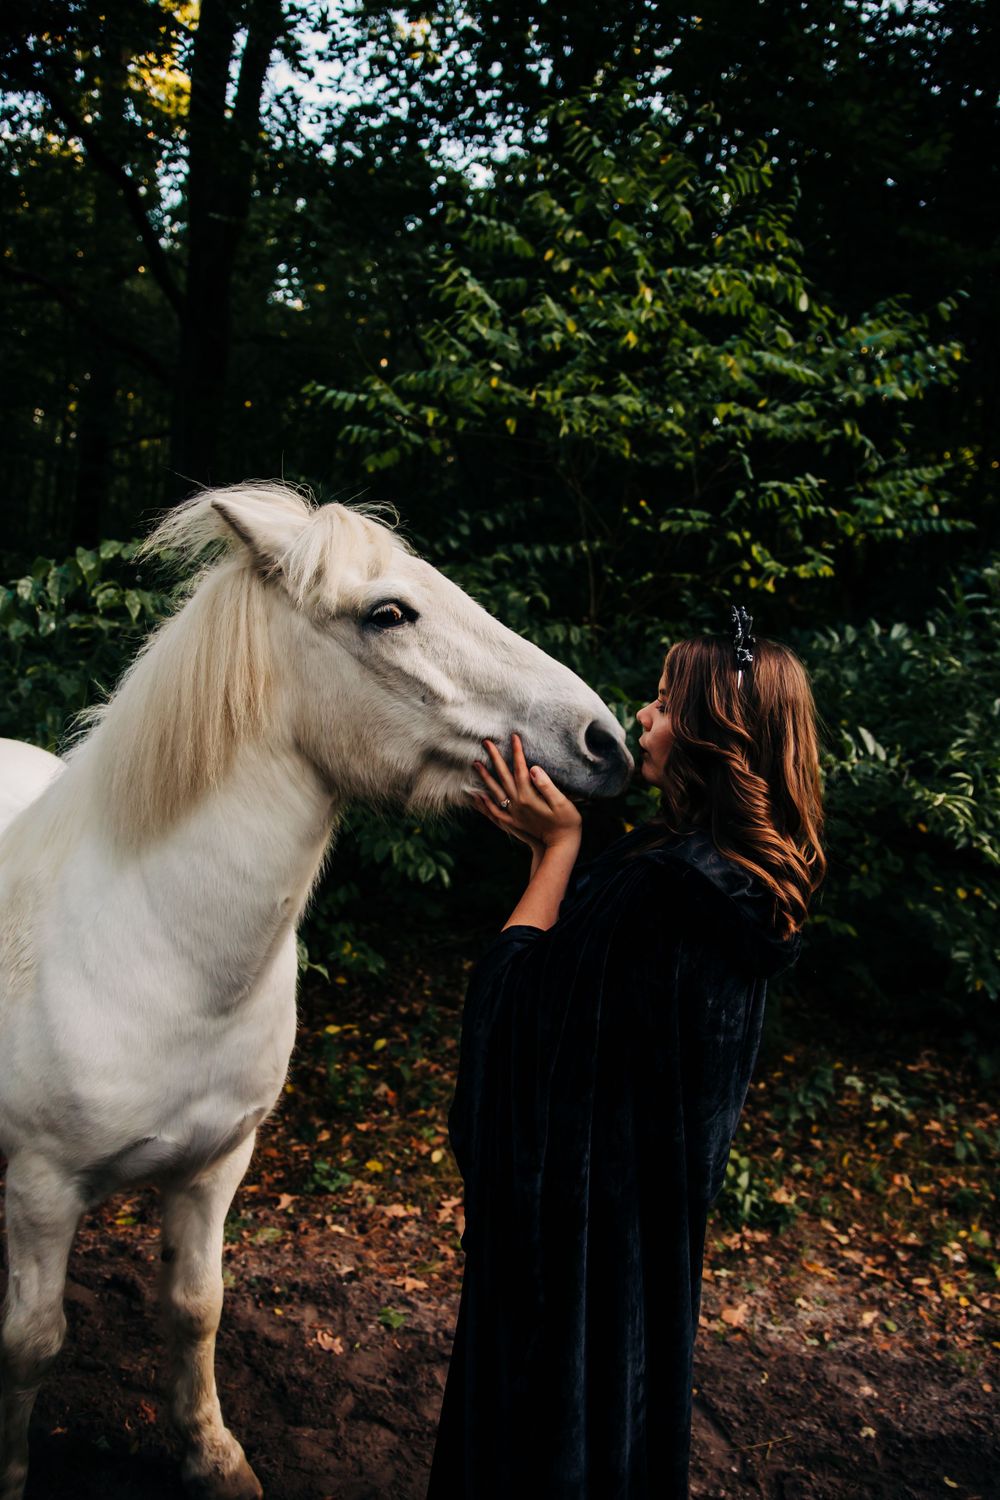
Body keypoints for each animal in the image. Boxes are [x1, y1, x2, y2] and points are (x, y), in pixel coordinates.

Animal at [0, 482, 632, 1500]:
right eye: (388, 613)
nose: (605, 741)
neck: (154, 954)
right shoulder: (44, 1190)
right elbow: (28, 1345)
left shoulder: (216, 1167)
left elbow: (195, 1309)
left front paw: (214, 1458)